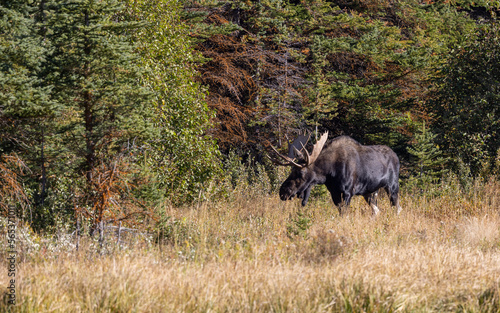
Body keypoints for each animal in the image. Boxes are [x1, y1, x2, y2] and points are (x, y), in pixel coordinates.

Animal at [270, 131, 402, 214]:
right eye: (291, 170)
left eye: (301, 172)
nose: (283, 192)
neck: (330, 172)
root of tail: (396, 156)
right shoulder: (334, 192)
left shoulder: (348, 192)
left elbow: (344, 213)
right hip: (369, 192)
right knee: (377, 211)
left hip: (392, 187)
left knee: (397, 208)